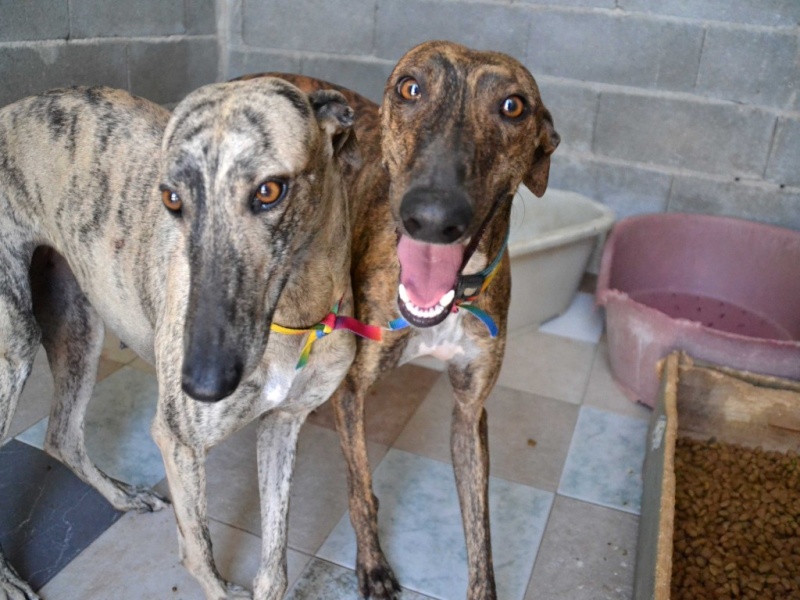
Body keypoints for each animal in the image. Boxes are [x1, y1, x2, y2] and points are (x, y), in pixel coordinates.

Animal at [0, 77, 358, 596]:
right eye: (171, 199)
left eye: (269, 190)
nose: (202, 384)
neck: (295, 316)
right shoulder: (178, 440)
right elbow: (199, 555)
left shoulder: (283, 424)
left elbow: (275, 564)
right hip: (15, 345)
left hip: (78, 326)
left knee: (61, 436)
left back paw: (122, 496)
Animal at [241, 39, 560, 596]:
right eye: (410, 87)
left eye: (513, 106)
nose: (431, 217)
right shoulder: (352, 390)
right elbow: (359, 486)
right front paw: (372, 566)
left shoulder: (469, 410)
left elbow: (480, 527)